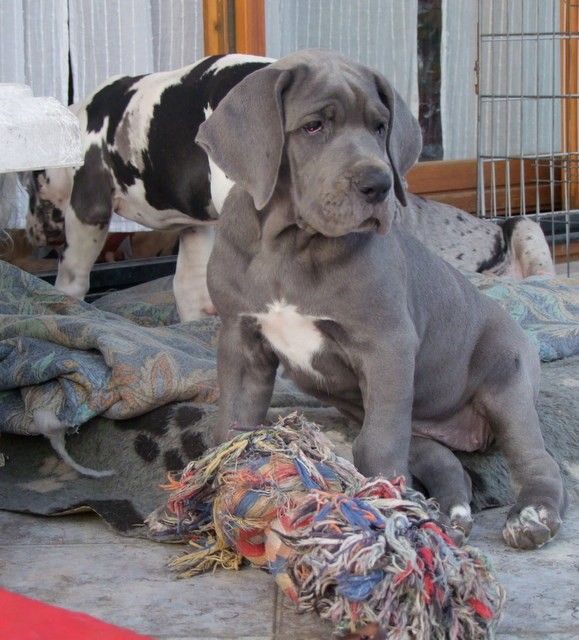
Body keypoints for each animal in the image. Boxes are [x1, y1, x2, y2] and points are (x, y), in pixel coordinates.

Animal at [23, 54, 554, 321]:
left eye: (30, 183)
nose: (28, 233)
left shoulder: (88, 210)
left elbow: (73, 277)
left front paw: (64, 306)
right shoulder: (198, 228)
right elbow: (188, 290)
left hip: (530, 231)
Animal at [197, 50, 566, 550]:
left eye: (379, 127)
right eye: (314, 126)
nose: (378, 184)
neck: (288, 244)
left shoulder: (386, 345)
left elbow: (375, 447)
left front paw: (383, 510)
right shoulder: (241, 339)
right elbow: (232, 428)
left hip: (505, 382)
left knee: (537, 460)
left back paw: (530, 517)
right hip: (410, 421)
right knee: (446, 462)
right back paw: (451, 515)